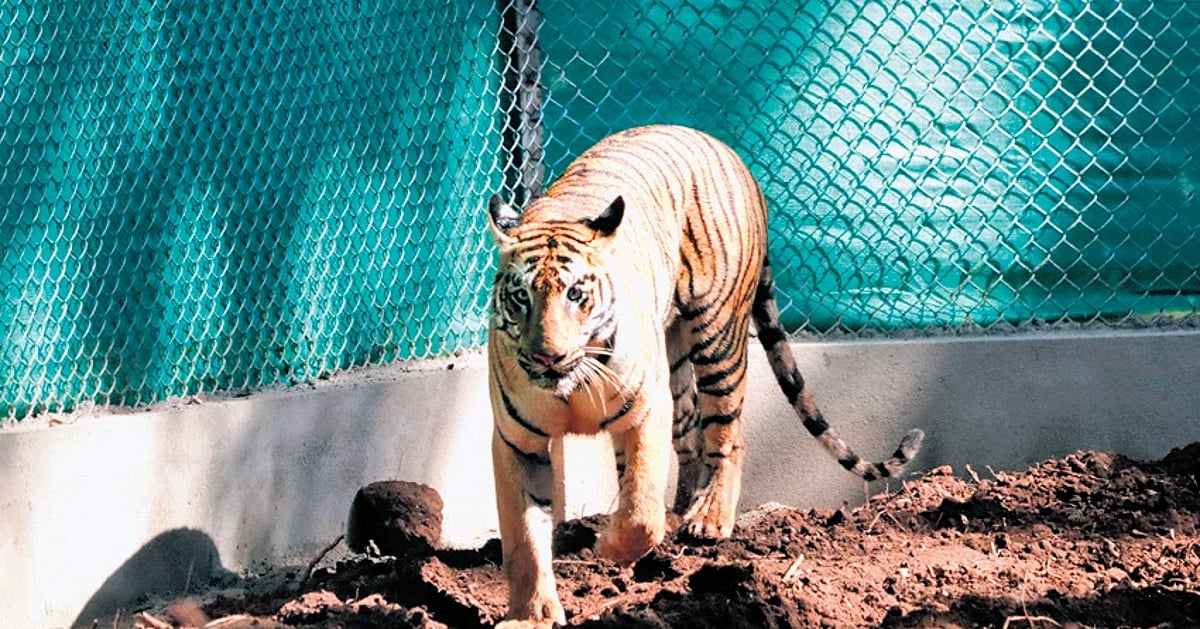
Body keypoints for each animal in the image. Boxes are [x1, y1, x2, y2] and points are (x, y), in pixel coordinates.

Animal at [485, 124, 924, 627]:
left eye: (576, 294)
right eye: (521, 297)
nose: (548, 357)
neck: (572, 383)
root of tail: (723, 147)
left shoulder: (644, 413)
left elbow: (639, 511)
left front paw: (609, 546)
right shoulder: (517, 442)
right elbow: (524, 538)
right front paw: (532, 615)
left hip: (718, 337)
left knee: (727, 436)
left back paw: (709, 519)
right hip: (675, 358)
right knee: (691, 435)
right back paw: (683, 510)